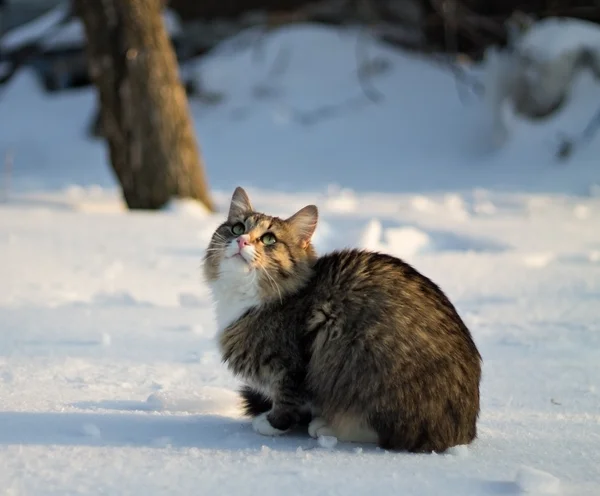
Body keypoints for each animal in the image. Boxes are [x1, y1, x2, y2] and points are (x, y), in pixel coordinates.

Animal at [205, 186, 482, 454]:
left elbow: (287, 399)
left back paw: (326, 427)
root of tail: (464, 432)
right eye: (237, 227)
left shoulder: (293, 363)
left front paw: (272, 423)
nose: (241, 240)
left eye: (269, 239)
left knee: (391, 435)